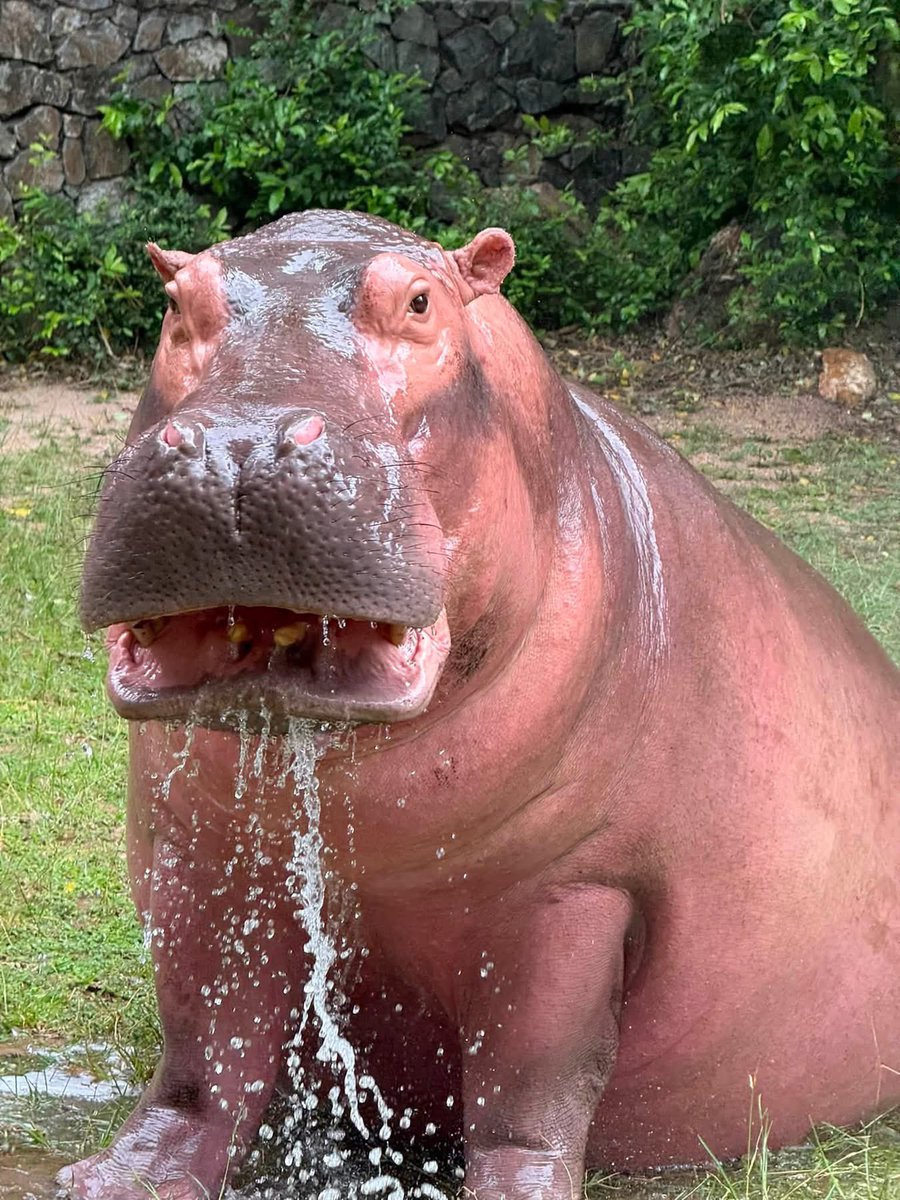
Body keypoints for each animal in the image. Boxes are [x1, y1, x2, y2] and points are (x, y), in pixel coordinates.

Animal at [67, 210, 899, 1200]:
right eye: (175, 303)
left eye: (421, 303)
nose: (241, 443)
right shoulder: (203, 862)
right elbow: (204, 1051)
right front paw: (111, 1179)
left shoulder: (573, 888)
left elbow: (530, 1080)